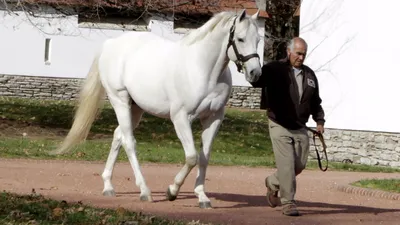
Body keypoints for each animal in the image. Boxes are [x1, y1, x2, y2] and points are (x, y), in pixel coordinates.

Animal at [50, 9, 262, 209]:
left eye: (258, 39)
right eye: (240, 39)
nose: (255, 73)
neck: (202, 69)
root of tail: (110, 44)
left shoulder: (214, 118)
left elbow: (204, 157)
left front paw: (202, 197)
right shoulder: (181, 118)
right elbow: (192, 157)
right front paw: (172, 191)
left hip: (135, 108)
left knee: (118, 135)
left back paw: (108, 185)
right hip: (120, 100)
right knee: (129, 142)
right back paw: (144, 191)